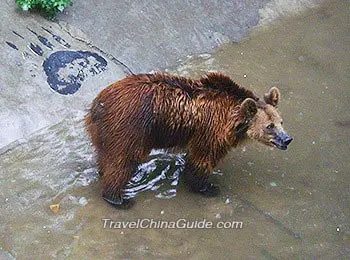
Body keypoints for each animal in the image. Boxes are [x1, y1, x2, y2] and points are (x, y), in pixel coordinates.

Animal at [85, 72, 292, 209]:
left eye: (281, 121)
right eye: (269, 126)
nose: (287, 139)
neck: (232, 117)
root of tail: (98, 104)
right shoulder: (210, 130)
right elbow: (203, 158)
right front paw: (207, 187)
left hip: (106, 133)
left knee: (108, 156)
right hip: (131, 128)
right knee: (123, 160)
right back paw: (119, 199)